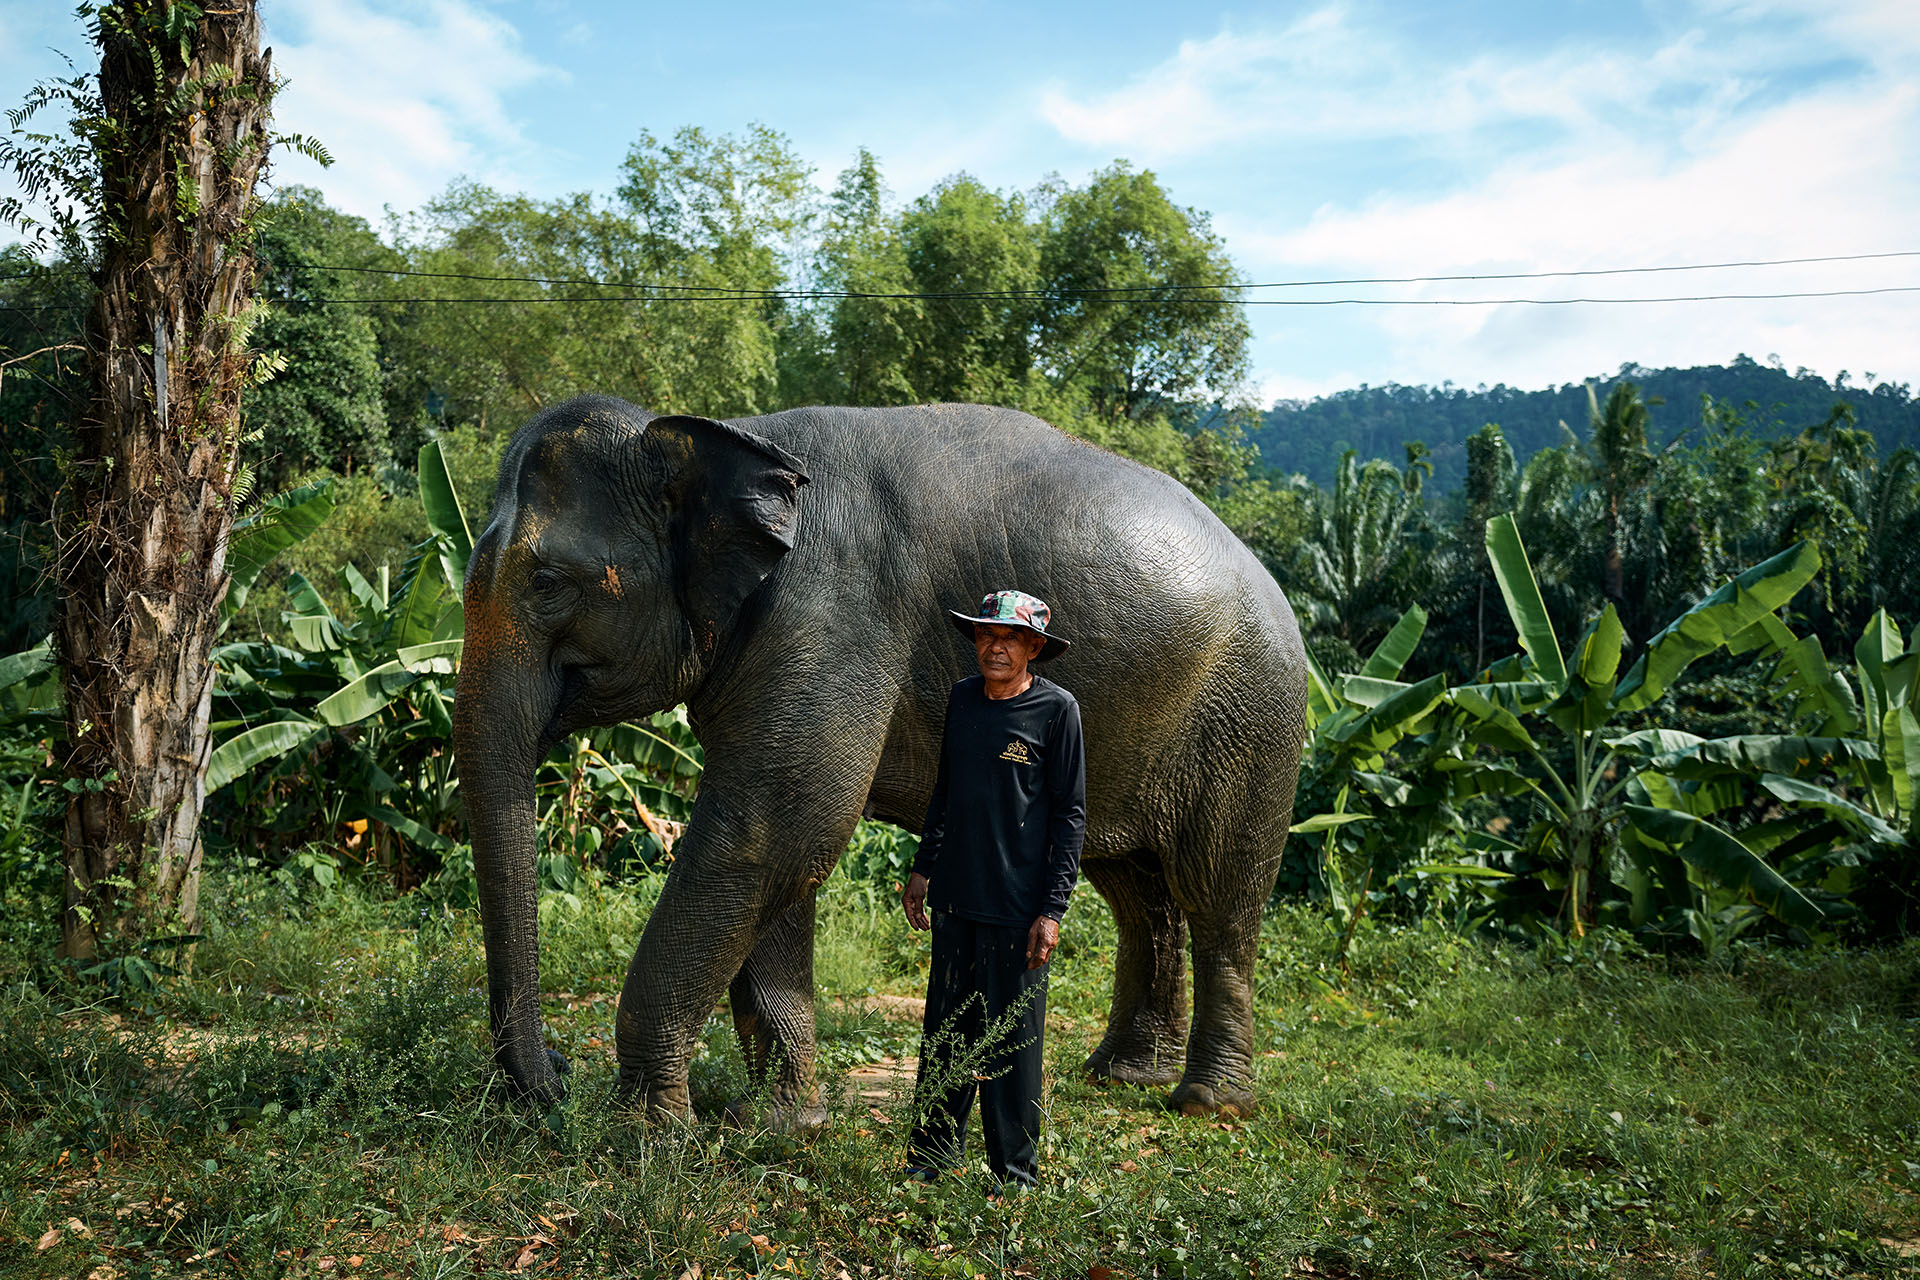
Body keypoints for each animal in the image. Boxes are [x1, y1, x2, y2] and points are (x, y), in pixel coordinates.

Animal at [456, 395, 1313, 1128]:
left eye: (546, 581)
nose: (553, 1074)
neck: (728, 436)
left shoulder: (831, 612)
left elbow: (772, 830)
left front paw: (645, 1135)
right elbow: (779, 848)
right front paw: (778, 1123)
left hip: (1254, 715)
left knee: (1220, 892)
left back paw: (1207, 1102)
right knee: (1136, 887)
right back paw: (1122, 1075)